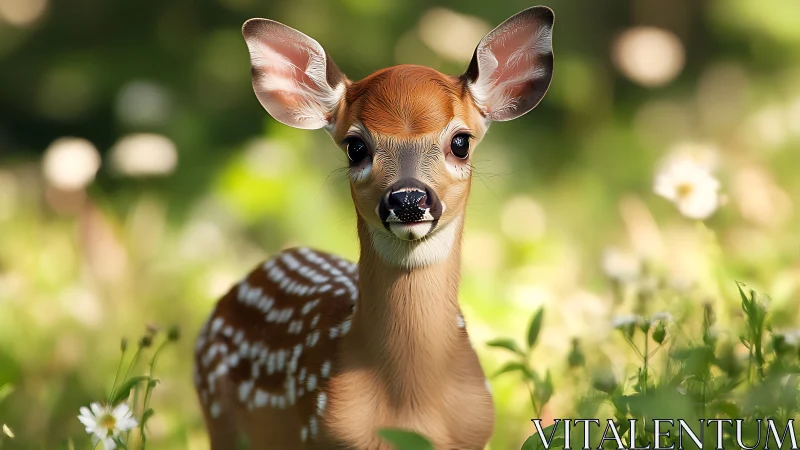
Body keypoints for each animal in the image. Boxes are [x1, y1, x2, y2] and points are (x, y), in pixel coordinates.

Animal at [193, 6, 554, 449]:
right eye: (356, 147)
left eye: (461, 142)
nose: (408, 199)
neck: (411, 409)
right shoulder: (321, 432)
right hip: (218, 414)